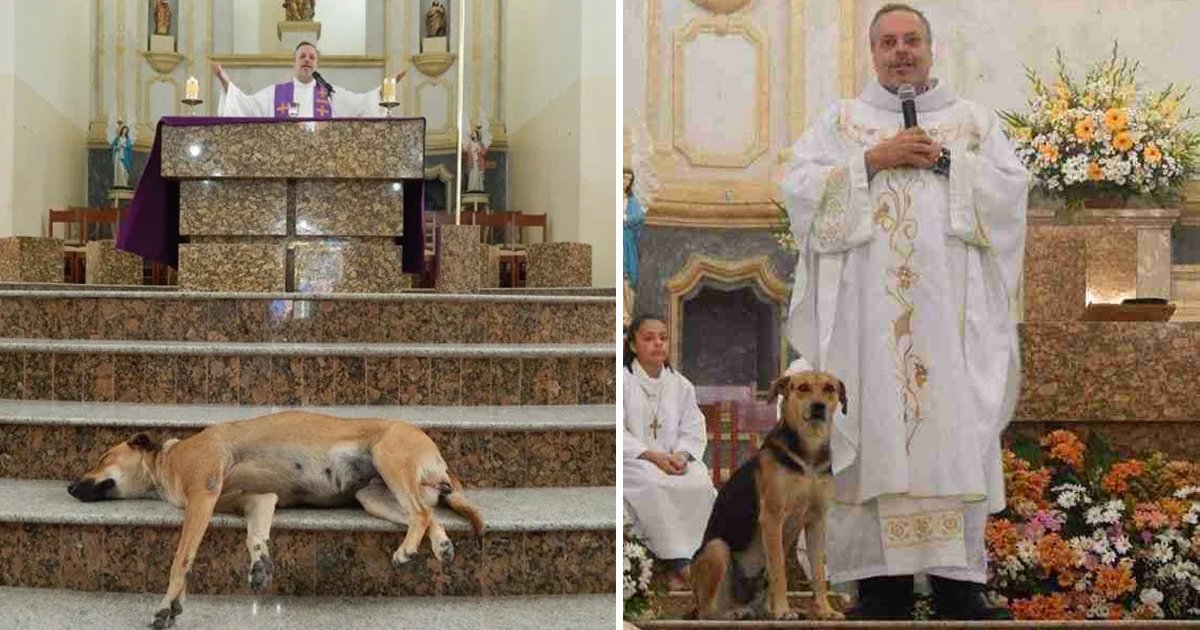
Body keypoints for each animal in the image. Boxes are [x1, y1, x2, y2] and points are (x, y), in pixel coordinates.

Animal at [66, 410, 482, 624]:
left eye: (102, 458)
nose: (69, 487)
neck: (168, 462)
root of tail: (439, 458)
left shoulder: (203, 494)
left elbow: (182, 557)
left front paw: (168, 604)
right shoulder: (257, 500)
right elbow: (255, 534)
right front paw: (259, 562)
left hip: (389, 457)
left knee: (420, 512)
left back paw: (408, 550)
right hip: (373, 496)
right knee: (427, 514)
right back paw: (440, 545)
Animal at [691, 369, 849, 619]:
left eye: (829, 389)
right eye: (803, 388)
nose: (818, 406)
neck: (808, 456)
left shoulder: (817, 520)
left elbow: (818, 573)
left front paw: (825, 610)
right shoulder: (772, 518)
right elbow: (779, 572)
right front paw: (784, 611)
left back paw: (764, 610)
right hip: (716, 549)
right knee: (706, 612)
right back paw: (735, 614)